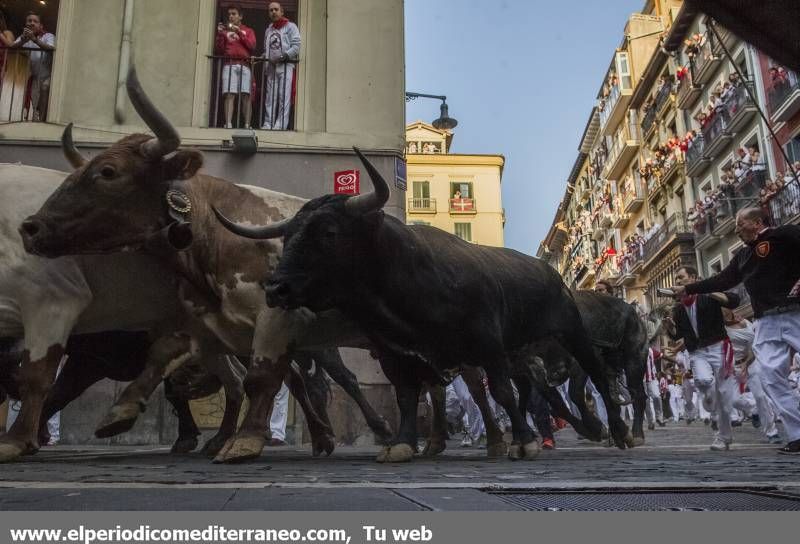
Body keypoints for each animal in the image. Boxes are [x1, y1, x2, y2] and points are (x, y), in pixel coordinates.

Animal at [214, 147, 636, 456]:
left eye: (329, 232)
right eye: (287, 237)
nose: (275, 289)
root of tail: (550, 273)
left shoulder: (487, 344)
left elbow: (500, 391)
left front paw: (524, 443)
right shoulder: (396, 354)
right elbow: (406, 397)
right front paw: (401, 444)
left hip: (571, 333)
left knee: (595, 377)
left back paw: (616, 431)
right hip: (522, 351)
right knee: (542, 390)